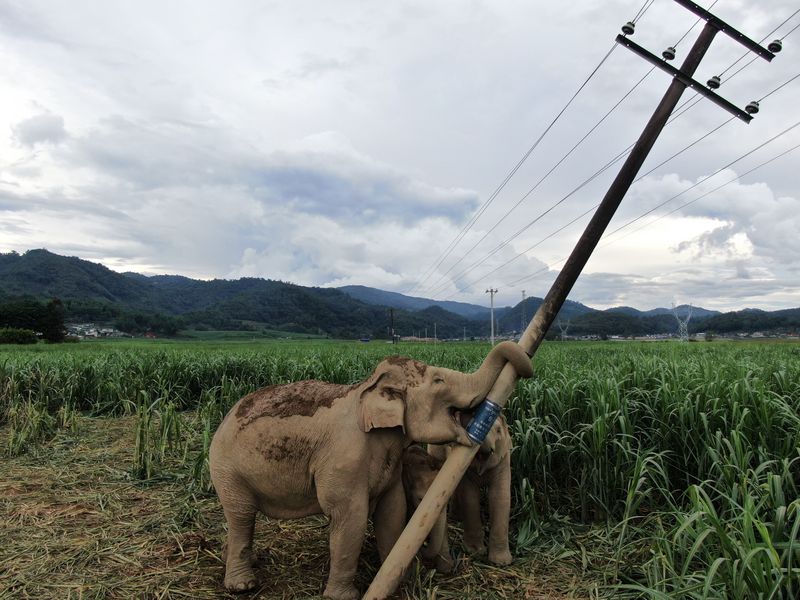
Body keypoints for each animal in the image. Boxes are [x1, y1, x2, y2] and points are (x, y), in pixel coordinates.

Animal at [404, 413, 514, 568]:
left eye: (498, 430)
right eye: (467, 426)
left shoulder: (503, 460)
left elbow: (500, 496)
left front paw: (501, 563)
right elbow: (470, 496)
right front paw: (474, 551)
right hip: (436, 449)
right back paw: (456, 517)